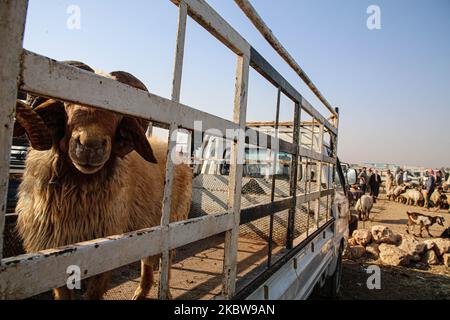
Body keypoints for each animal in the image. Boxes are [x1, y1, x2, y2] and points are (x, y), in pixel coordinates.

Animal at [13, 61, 192, 298]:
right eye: (67, 103)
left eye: (119, 113)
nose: (91, 146)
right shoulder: (54, 253)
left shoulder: (105, 251)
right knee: (147, 259)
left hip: (174, 221)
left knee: (166, 259)